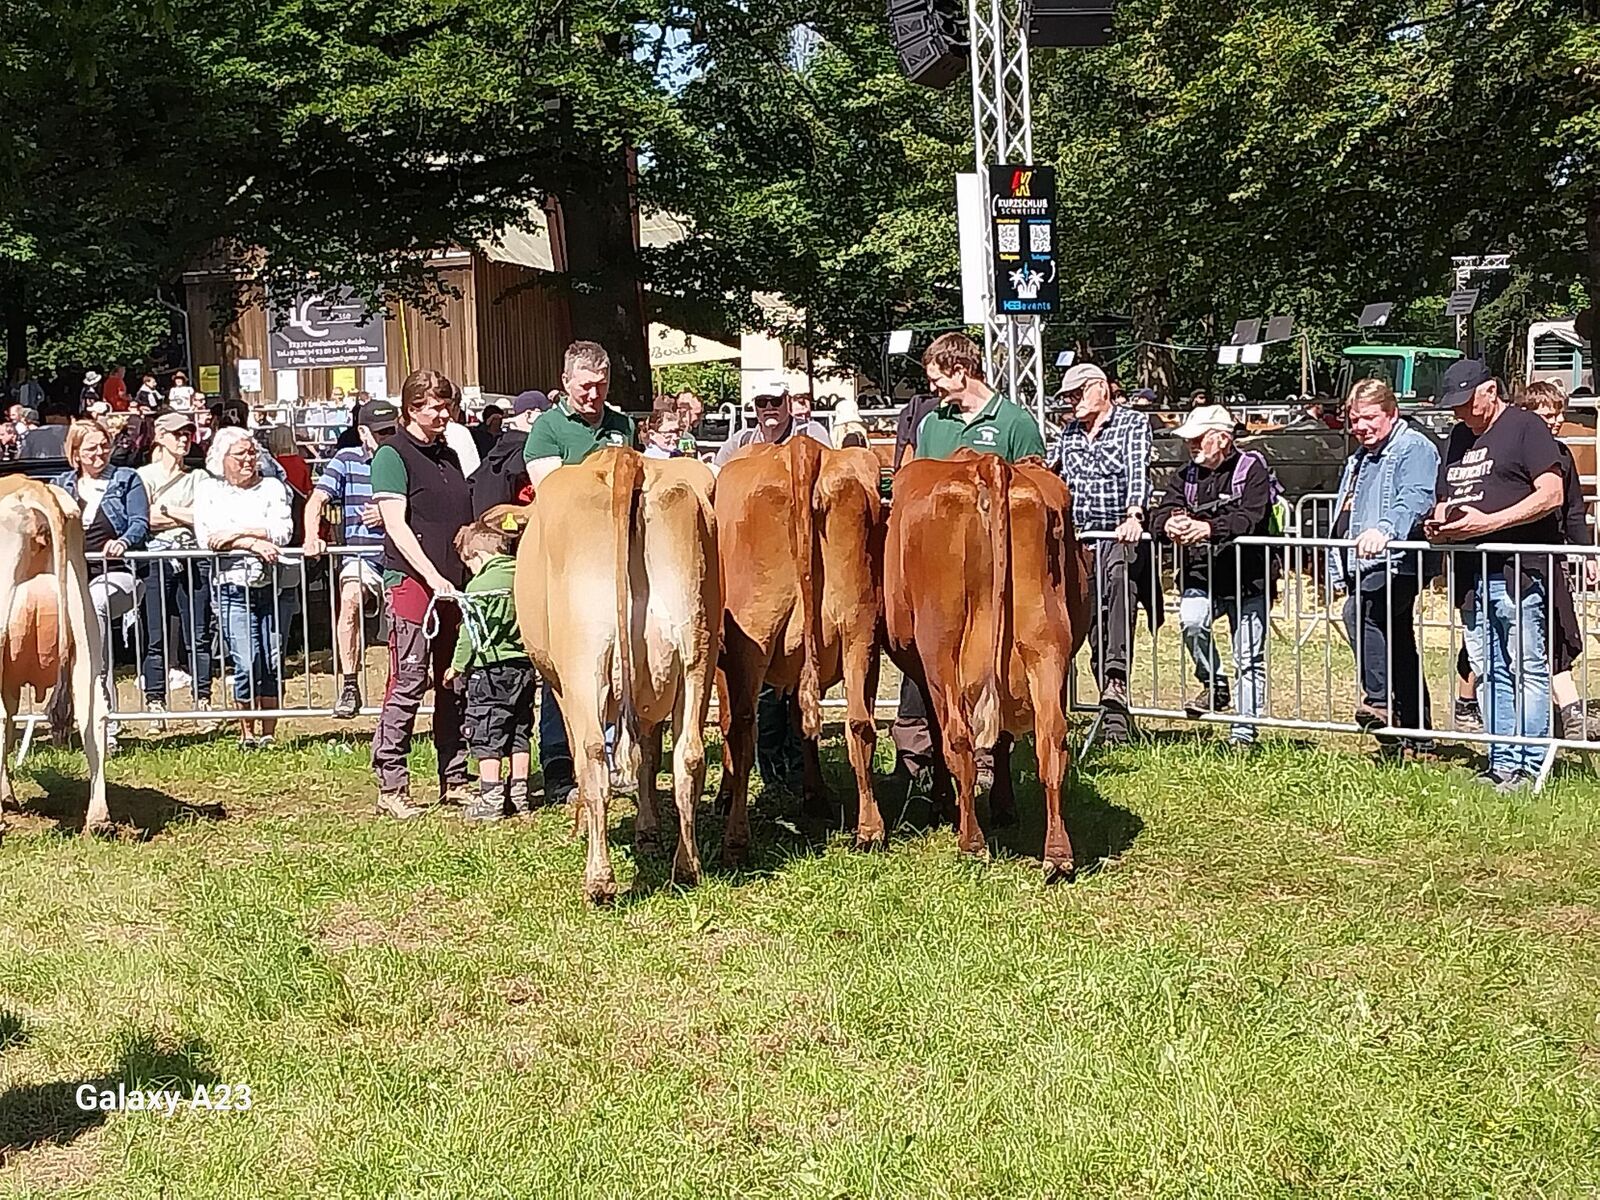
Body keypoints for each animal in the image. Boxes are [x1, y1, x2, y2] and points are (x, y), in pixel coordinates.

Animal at [489, 448, 723, 902]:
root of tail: (626, 460)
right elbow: (647, 756)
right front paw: (647, 830)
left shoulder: (562, 686)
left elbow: (582, 754)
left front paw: (580, 827)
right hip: (696, 654)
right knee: (689, 754)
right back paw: (687, 867)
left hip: (586, 661)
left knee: (594, 754)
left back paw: (599, 880)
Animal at [716, 441, 889, 864]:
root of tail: (803, 449)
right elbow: (801, 718)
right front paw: (815, 795)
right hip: (860, 630)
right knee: (859, 722)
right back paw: (870, 830)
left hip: (751, 637)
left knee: (742, 727)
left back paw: (736, 841)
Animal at [883, 451, 1094, 883]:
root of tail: (987, 463)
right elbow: (1003, 742)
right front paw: (1004, 805)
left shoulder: (926, 672)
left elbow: (940, 734)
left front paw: (942, 804)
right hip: (1045, 644)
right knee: (1051, 738)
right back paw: (1057, 854)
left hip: (941, 648)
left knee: (957, 737)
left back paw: (971, 842)